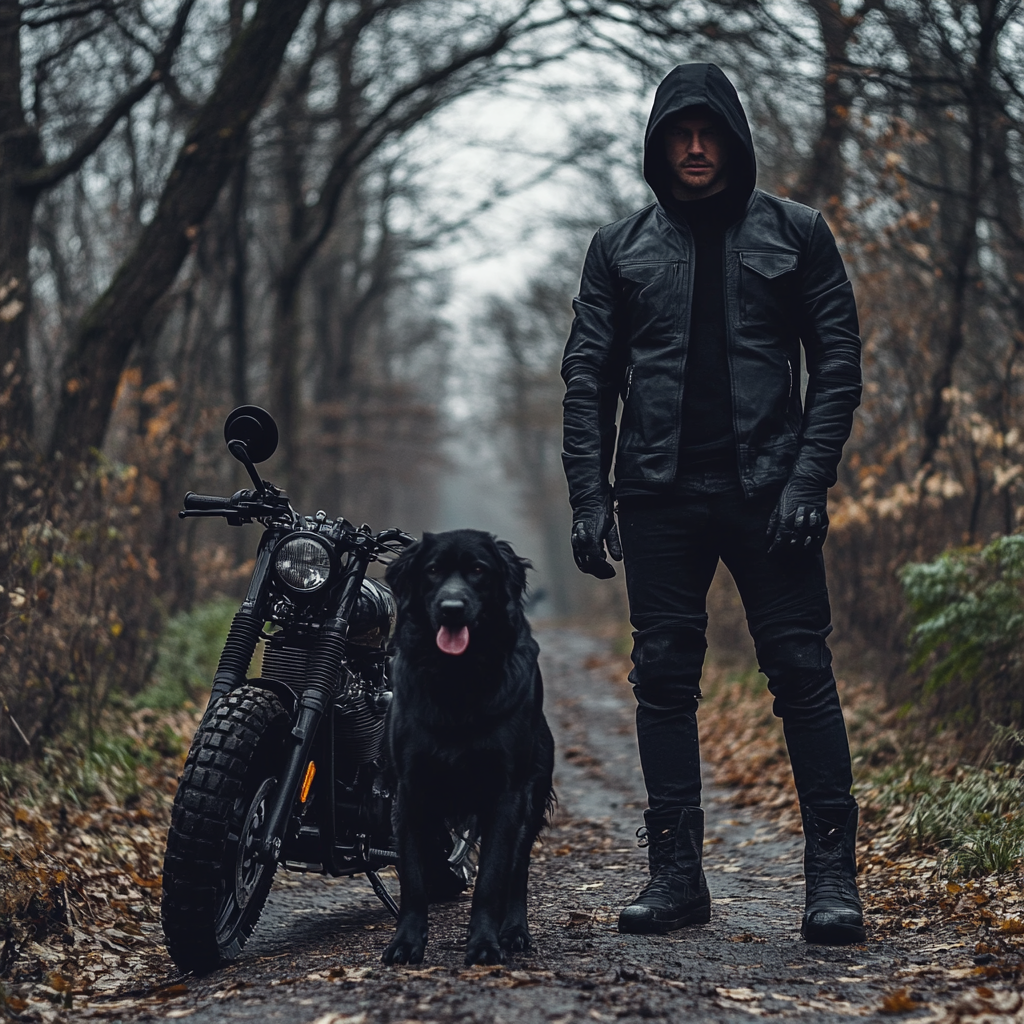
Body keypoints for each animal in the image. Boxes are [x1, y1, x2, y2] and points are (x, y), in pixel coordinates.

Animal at [380, 532, 552, 962]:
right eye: (432, 570)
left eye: (478, 570)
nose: (452, 609)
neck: (457, 677)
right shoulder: (409, 789)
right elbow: (413, 877)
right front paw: (406, 942)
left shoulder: (507, 794)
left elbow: (492, 879)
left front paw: (485, 944)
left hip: (532, 796)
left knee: (517, 871)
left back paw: (515, 932)